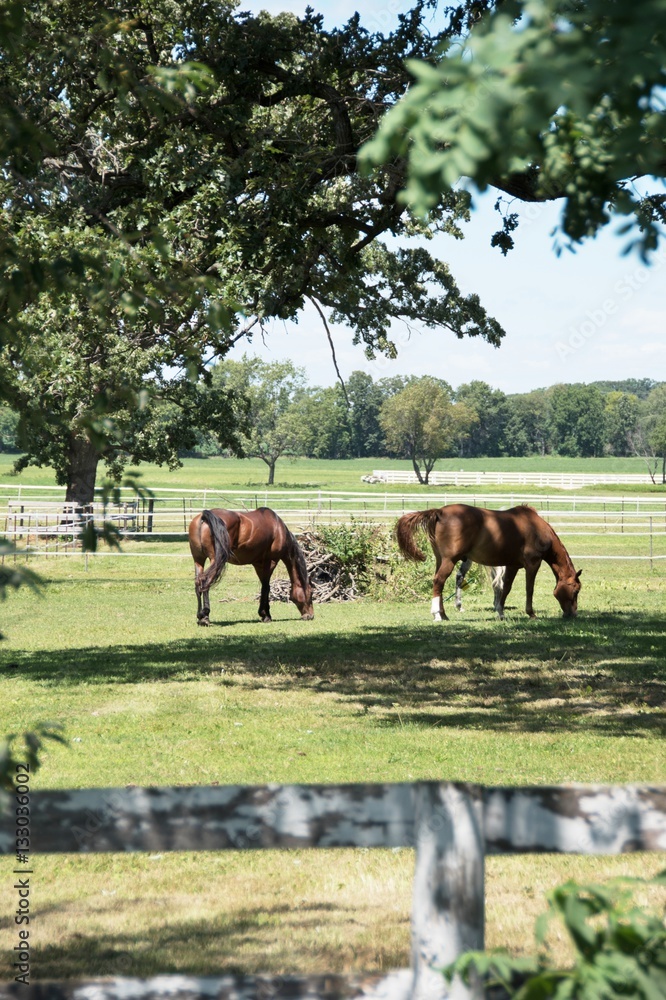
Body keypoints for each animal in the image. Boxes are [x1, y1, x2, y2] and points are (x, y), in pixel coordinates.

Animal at [396, 503, 581, 621]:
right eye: (575, 590)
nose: (572, 614)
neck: (536, 528)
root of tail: (440, 512)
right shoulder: (532, 564)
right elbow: (529, 589)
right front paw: (531, 613)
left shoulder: (512, 565)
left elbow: (506, 588)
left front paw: (500, 612)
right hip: (449, 560)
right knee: (439, 581)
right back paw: (437, 615)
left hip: (440, 560)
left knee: (439, 583)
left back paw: (444, 614)